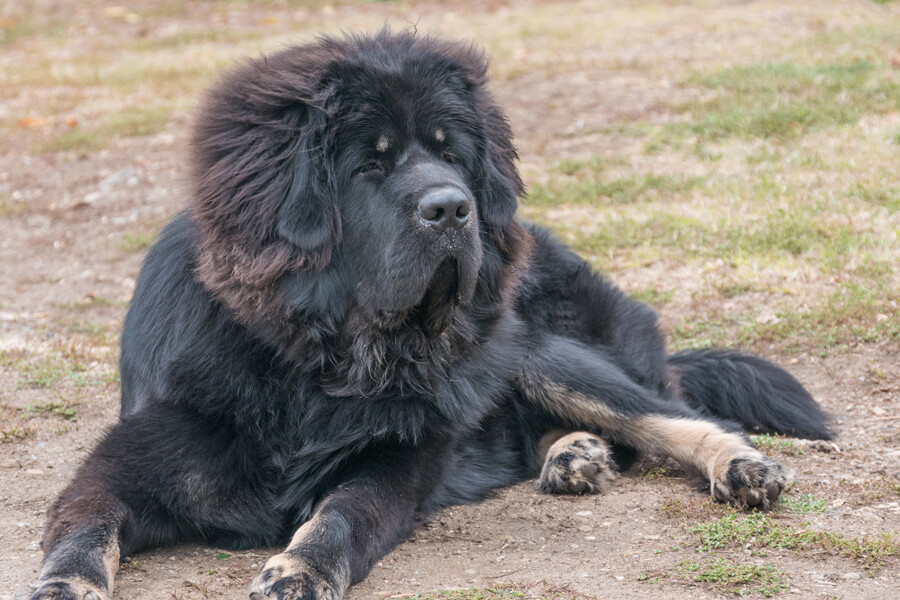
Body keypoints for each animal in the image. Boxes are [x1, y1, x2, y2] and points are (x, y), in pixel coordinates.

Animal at [17, 30, 828, 600]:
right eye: (368, 165)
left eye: (451, 154)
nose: (452, 208)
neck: (318, 363)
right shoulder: (122, 466)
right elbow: (82, 529)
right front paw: (63, 585)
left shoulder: (393, 464)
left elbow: (338, 514)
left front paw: (299, 569)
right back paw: (573, 454)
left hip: (536, 349)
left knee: (671, 414)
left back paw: (737, 466)